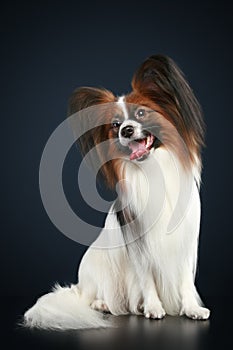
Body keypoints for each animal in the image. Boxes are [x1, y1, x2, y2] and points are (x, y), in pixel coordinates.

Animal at [24, 54, 210, 330]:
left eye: (141, 113)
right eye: (115, 125)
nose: (126, 130)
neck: (153, 168)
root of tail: (78, 287)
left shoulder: (184, 242)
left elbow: (185, 279)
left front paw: (191, 308)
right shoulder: (139, 244)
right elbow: (146, 278)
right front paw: (153, 307)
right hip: (99, 269)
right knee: (93, 296)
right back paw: (102, 304)